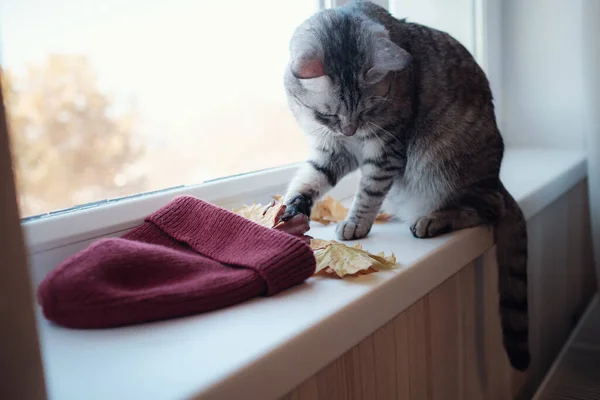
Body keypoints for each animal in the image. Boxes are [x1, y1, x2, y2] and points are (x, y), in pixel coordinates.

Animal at [282, 0, 528, 370]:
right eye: (331, 115)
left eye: (368, 107)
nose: (351, 129)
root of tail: (497, 180)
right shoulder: (334, 149)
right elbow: (311, 177)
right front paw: (294, 204)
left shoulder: (386, 148)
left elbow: (369, 191)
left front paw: (355, 223)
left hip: (443, 163)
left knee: (484, 207)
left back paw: (433, 219)